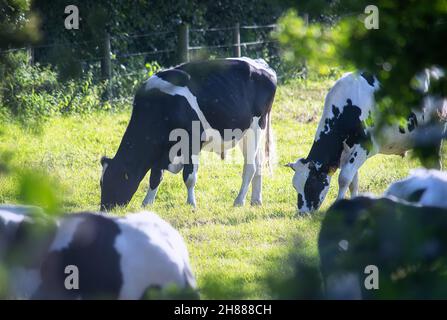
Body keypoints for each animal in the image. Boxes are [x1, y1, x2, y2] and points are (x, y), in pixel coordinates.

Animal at [101, 57, 276, 210]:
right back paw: (256, 200)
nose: (104, 208)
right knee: (259, 164)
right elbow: (155, 177)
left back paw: (239, 201)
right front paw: (147, 203)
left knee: (250, 167)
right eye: (101, 183)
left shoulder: (191, 142)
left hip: (256, 127)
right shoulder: (161, 151)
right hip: (245, 133)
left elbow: (189, 177)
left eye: (113, 182)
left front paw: (191, 203)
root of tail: (260, 64)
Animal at [288, 71, 446, 214]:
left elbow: (344, 178)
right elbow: (353, 181)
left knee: (435, 164)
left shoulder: (365, 147)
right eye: (295, 186)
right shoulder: (346, 153)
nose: (302, 212)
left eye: (310, 185)